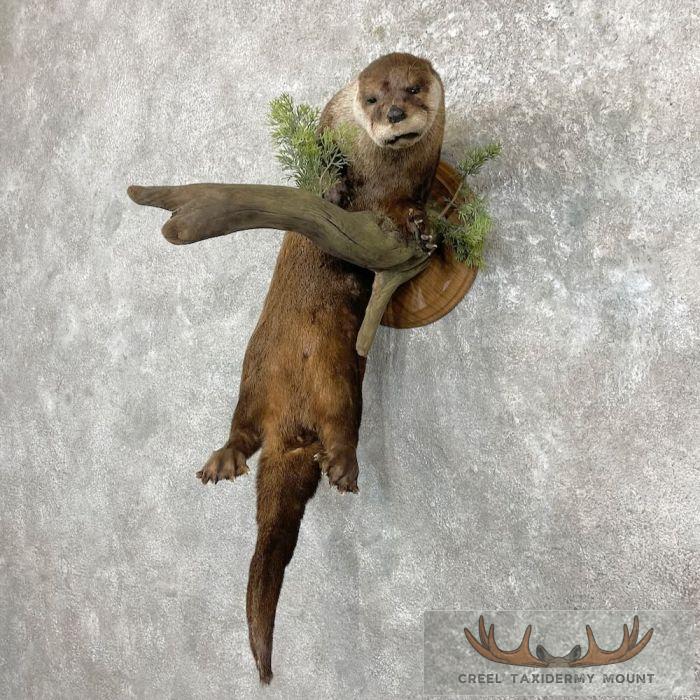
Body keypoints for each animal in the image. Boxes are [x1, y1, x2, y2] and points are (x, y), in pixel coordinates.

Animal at [195, 52, 445, 683]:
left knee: (275, 430)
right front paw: (333, 185)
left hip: (301, 381)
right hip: (282, 372)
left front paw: (422, 225)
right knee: (286, 424)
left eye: (414, 88)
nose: (396, 113)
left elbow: (409, 209)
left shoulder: (417, 183)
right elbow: (336, 182)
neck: (382, 175)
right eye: (373, 97)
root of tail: (288, 424)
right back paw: (321, 465)